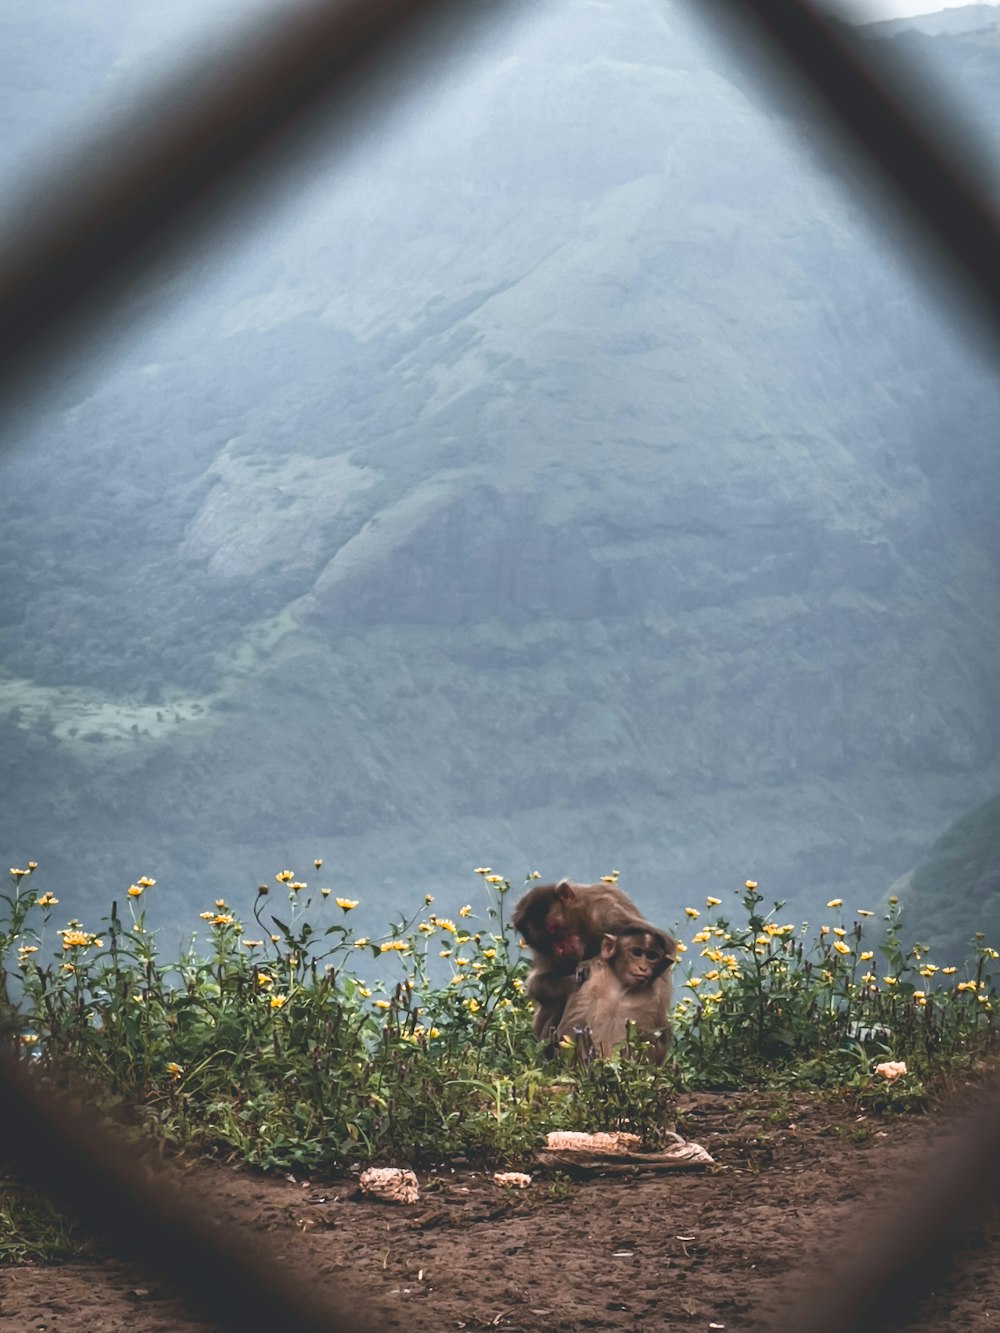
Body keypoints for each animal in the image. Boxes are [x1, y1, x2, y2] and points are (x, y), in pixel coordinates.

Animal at [517, 885, 674, 1039]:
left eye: (555, 930)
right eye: (547, 941)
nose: (562, 949)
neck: (583, 922)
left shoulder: (606, 912)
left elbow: (661, 944)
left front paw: (586, 966)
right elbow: (536, 984)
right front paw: (573, 982)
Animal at [557, 927, 674, 1061]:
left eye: (651, 956)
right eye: (637, 953)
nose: (643, 968)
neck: (621, 989)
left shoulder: (656, 1001)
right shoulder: (591, 982)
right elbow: (571, 1025)